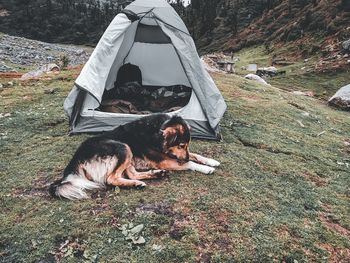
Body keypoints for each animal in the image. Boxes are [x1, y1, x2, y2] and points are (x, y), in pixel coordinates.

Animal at [49, 114, 219, 201]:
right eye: (181, 145)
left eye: (187, 145)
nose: (184, 158)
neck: (158, 131)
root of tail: (75, 159)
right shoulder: (163, 160)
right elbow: (190, 163)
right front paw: (206, 168)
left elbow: (196, 155)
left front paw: (211, 161)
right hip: (122, 147)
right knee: (111, 179)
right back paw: (139, 181)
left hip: (128, 153)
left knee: (131, 174)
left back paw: (150, 177)